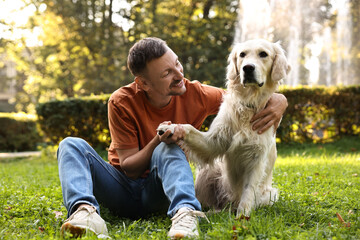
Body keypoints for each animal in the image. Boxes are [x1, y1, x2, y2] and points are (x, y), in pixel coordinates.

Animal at [157, 39, 290, 216]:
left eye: (263, 54)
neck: (248, 104)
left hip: (269, 194)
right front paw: (171, 128)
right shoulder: (214, 141)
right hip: (209, 173)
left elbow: (248, 189)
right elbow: (189, 128)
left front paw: (243, 216)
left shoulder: (257, 157)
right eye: (242, 54)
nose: (247, 68)